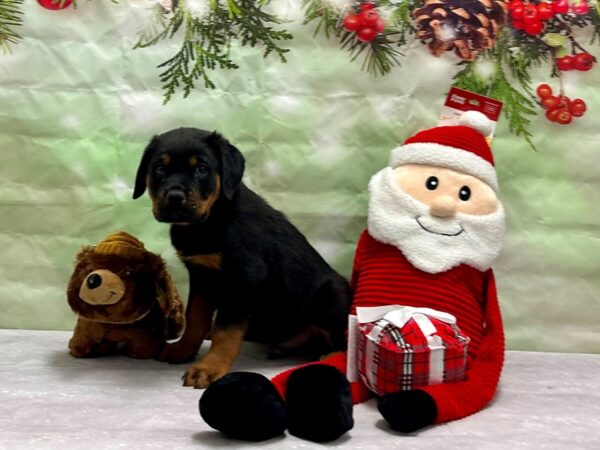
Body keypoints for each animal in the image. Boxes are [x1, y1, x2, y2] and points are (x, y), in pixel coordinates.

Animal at [132, 128, 352, 388]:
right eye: (159, 168)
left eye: (201, 169)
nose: (175, 196)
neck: (211, 220)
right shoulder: (202, 275)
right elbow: (195, 317)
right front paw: (183, 350)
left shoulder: (242, 279)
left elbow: (225, 330)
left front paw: (209, 368)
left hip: (333, 294)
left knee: (344, 340)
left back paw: (331, 356)